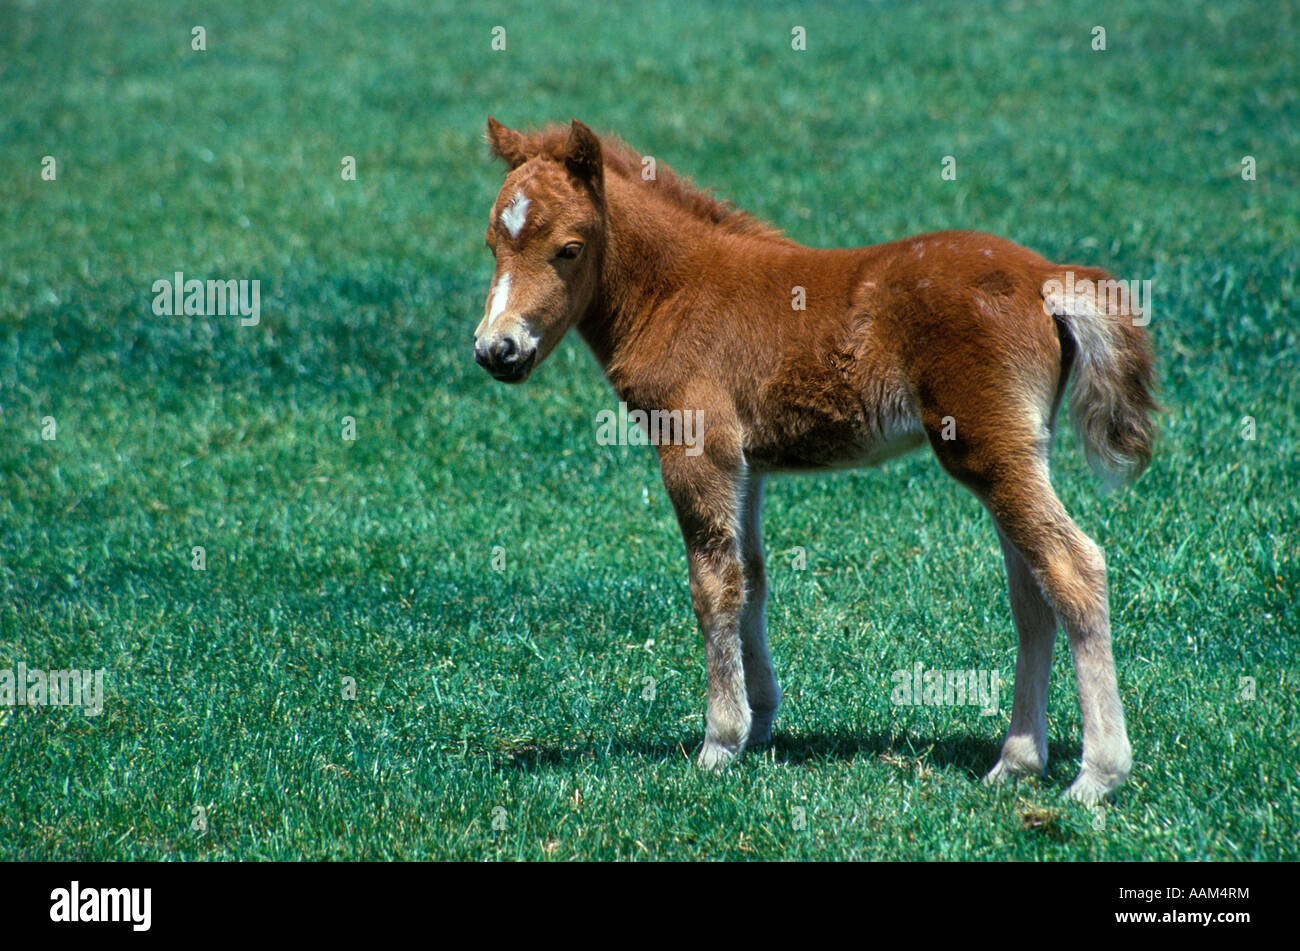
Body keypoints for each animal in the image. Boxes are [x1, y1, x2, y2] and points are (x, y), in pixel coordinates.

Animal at [472, 117, 1157, 803]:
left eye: (569, 247)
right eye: (491, 243)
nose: (496, 350)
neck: (676, 291)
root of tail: (1045, 275)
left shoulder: (697, 451)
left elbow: (713, 586)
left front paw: (719, 743)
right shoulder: (746, 466)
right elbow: (751, 580)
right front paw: (759, 724)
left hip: (987, 448)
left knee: (1074, 567)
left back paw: (1097, 774)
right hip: (1015, 452)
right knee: (1031, 595)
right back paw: (1015, 762)